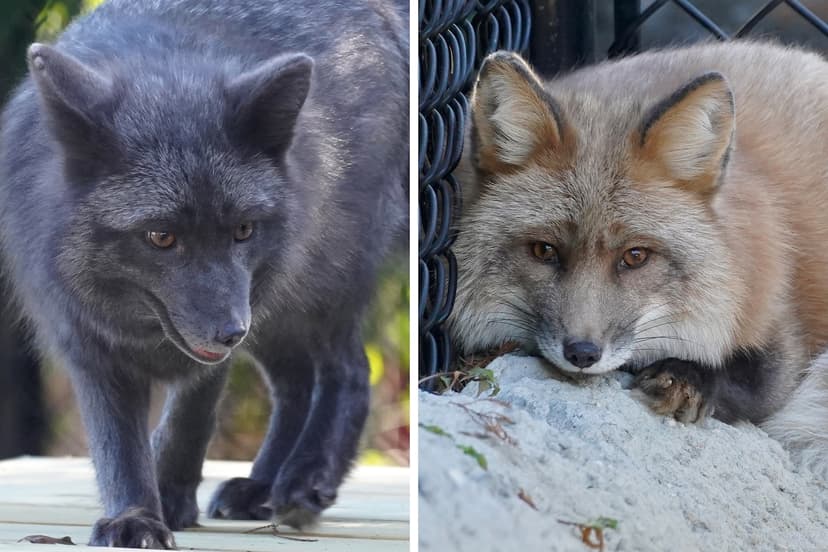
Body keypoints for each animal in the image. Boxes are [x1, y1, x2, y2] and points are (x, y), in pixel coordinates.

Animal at [0, 0, 407, 548]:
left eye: (242, 229)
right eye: (161, 236)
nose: (231, 333)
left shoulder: (216, 344)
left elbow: (188, 420)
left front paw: (170, 498)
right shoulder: (88, 341)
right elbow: (116, 445)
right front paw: (135, 516)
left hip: (306, 289)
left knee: (349, 371)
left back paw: (306, 477)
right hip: (271, 310)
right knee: (297, 382)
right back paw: (260, 486)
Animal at [449, 40, 828, 478]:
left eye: (635, 256)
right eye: (544, 251)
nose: (582, 354)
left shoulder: (778, 325)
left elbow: (759, 386)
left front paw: (688, 377)